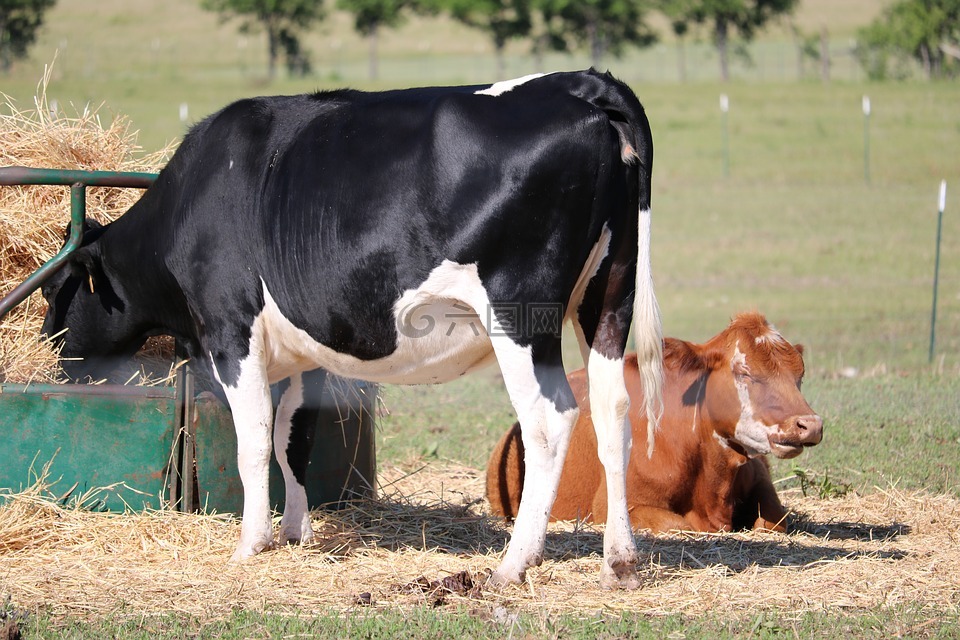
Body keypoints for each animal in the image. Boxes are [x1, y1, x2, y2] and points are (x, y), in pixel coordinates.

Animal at [41, 71, 664, 592]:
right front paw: (295, 531)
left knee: (551, 419)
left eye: (54, 292)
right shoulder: (306, 350)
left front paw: (251, 544)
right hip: (608, 299)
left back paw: (514, 563)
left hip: (521, 312)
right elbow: (292, 438)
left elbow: (253, 441)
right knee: (613, 412)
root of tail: (579, 83)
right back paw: (620, 562)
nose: (52, 355)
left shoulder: (230, 330)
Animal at [488, 312, 824, 532]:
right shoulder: (614, 506)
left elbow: (773, 522)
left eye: (800, 376)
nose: (809, 424)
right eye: (744, 372)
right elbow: (680, 526)